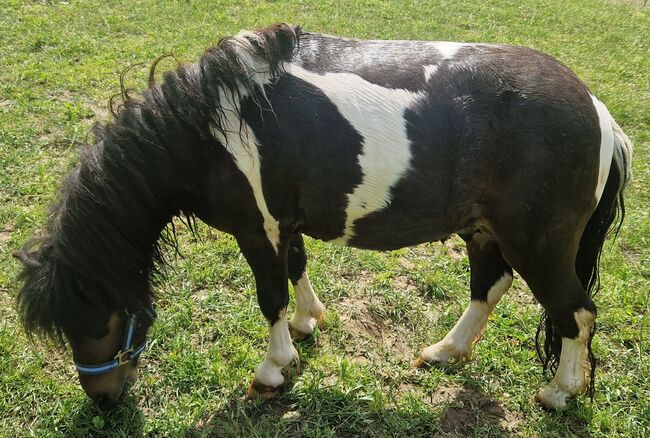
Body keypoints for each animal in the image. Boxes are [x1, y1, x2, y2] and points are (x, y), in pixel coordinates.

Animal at [15, 23, 632, 410]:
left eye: (93, 320)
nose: (103, 402)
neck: (207, 128)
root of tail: (599, 113)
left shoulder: (256, 230)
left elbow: (269, 297)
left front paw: (272, 370)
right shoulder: (283, 224)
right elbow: (296, 270)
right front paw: (308, 322)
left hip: (539, 243)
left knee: (577, 313)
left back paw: (559, 393)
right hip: (484, 231)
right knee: (490, 287)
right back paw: (446, 351)